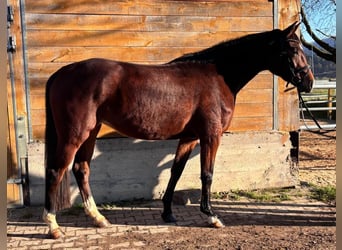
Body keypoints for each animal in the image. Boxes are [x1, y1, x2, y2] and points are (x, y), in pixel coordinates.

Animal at [42, 22, 312, 238]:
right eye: (293, 49)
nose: (308, 82)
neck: (219, 77)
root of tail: (62, 72)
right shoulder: (210, 136)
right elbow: (207, 174)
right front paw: (211, 215)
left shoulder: (189, 137)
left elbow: (175, 172)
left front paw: (168, 213)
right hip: (75, 134)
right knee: (56, 171)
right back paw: (53, 226)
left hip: (91, 132)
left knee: (81, 169)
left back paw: (98, 218)